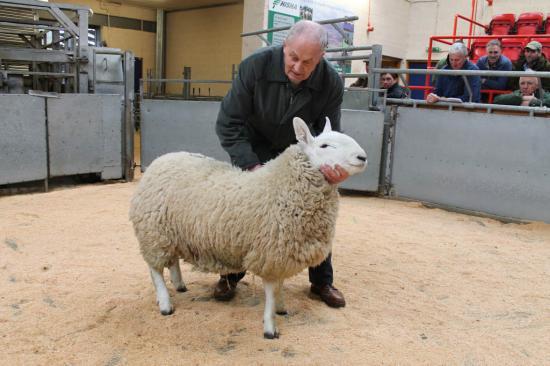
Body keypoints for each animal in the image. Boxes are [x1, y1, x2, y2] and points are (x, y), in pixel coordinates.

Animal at [130, 116, 368, 338]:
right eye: (324, 145)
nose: (363, 157)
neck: (281, 187)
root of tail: (161, 160)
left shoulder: (283, 253)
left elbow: (280, 286)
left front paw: (281, 308)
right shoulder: (271, 252)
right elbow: (271, 291)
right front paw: (270, 327)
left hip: (171, 234)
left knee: (172, 261)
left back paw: (179, 285)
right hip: (153, 233)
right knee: (155, 270)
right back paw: (165, 303)